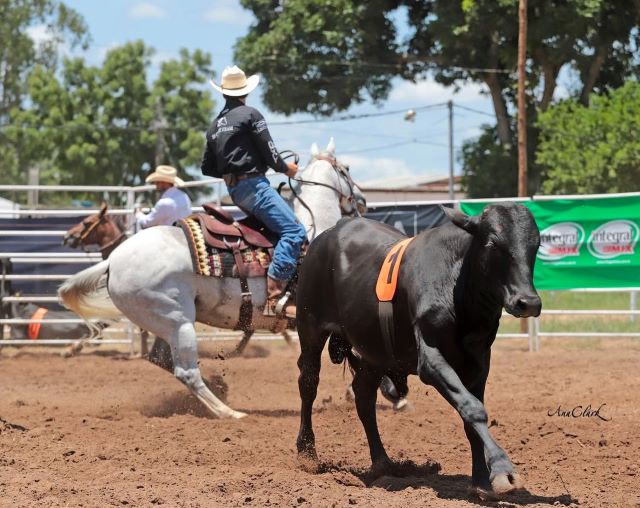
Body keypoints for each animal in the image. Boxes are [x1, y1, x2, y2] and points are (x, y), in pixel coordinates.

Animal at [296, 201, 540, 496]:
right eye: (493, 243)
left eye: (536, 244)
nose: (528, 302)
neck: (458, 286)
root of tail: (328, 234)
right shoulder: (431, 360)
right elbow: (472, 408)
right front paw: (503, 469)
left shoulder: (479, 363)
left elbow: (471, 418)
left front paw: (481, 482)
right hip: (310, 328)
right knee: (309, 383)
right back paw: (307, 453)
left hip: (376, 352)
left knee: (363, 394)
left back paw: (383, 463)